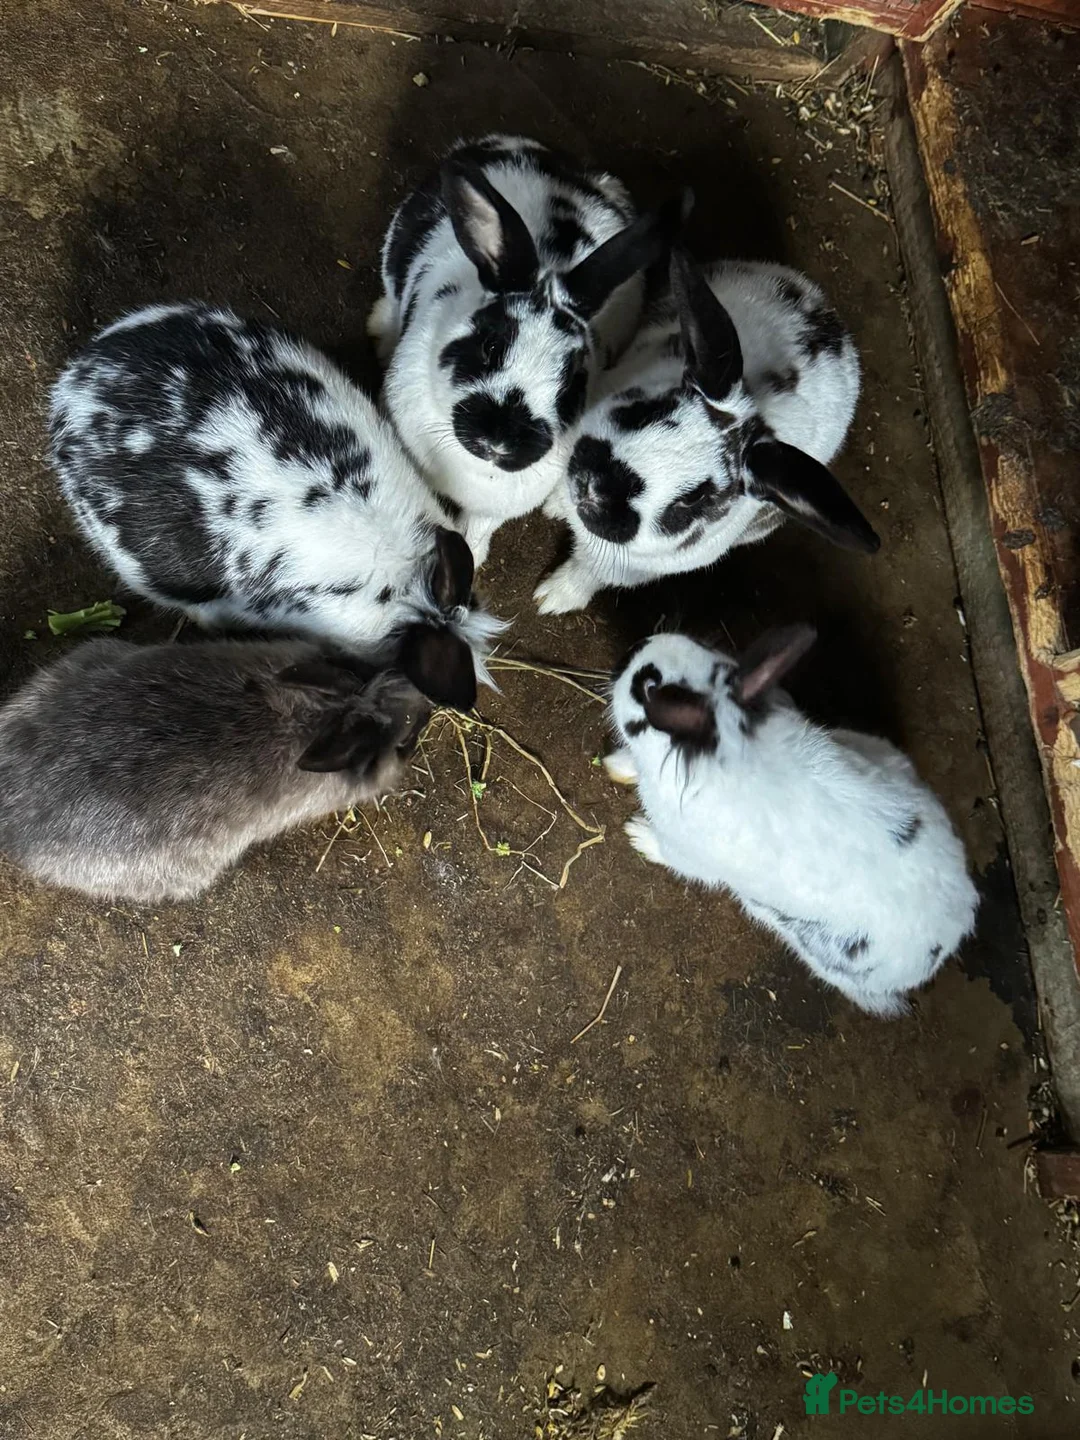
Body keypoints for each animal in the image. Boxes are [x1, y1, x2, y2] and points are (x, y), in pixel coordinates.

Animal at [367, 133, 676, 565]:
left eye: (573, 380)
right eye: (491, 345)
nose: (500, 443)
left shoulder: (496, 508)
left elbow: (479, 529)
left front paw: (474, 556)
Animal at [535, 249, 879, 614]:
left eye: (693, 499)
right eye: (649, 412)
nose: (594, 487)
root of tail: (831, 318)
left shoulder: (621, 567)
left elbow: (586, 573)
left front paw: (551, 599)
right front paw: (554, 505)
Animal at [606, 627, 978, 1017]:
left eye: (648, 687)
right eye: (704, 645)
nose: (630, 651)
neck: (726, 750)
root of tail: (952, 933)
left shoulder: (687, 852)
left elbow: (670, 854)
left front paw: (637, 834)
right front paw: (617, 765)